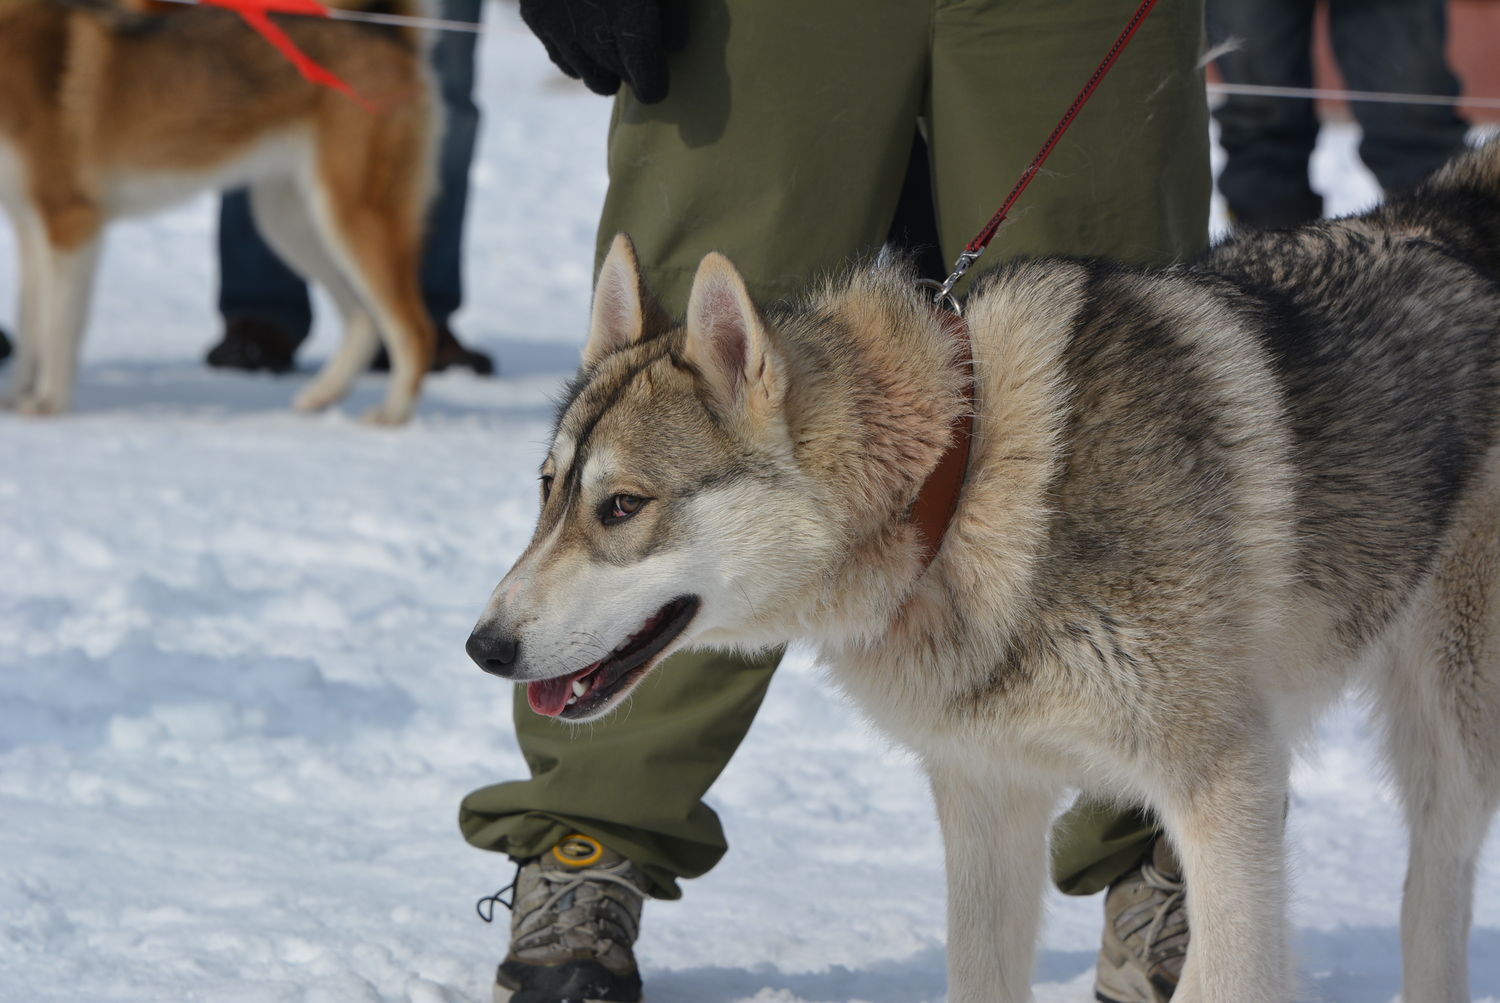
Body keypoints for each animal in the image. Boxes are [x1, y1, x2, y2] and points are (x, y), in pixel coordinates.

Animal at [0, 0, 437, 422]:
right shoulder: (30, 227)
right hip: (287, 221)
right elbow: (29, 321)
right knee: (363, 318)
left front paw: (50, 403)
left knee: (414, 328)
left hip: (353, 214)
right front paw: (15, 397)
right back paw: (324, 393)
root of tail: (390, 38)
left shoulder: (71, 221)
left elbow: (57, 325)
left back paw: (394, 412)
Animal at [467, 140, 1500, 1001]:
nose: (483, 647)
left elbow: (1228, 973)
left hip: (1449, 728)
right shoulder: (988, 797)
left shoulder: (1228, 787)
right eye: (549, 489)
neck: (961, 482)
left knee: (1434, 894)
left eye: (622, 506)